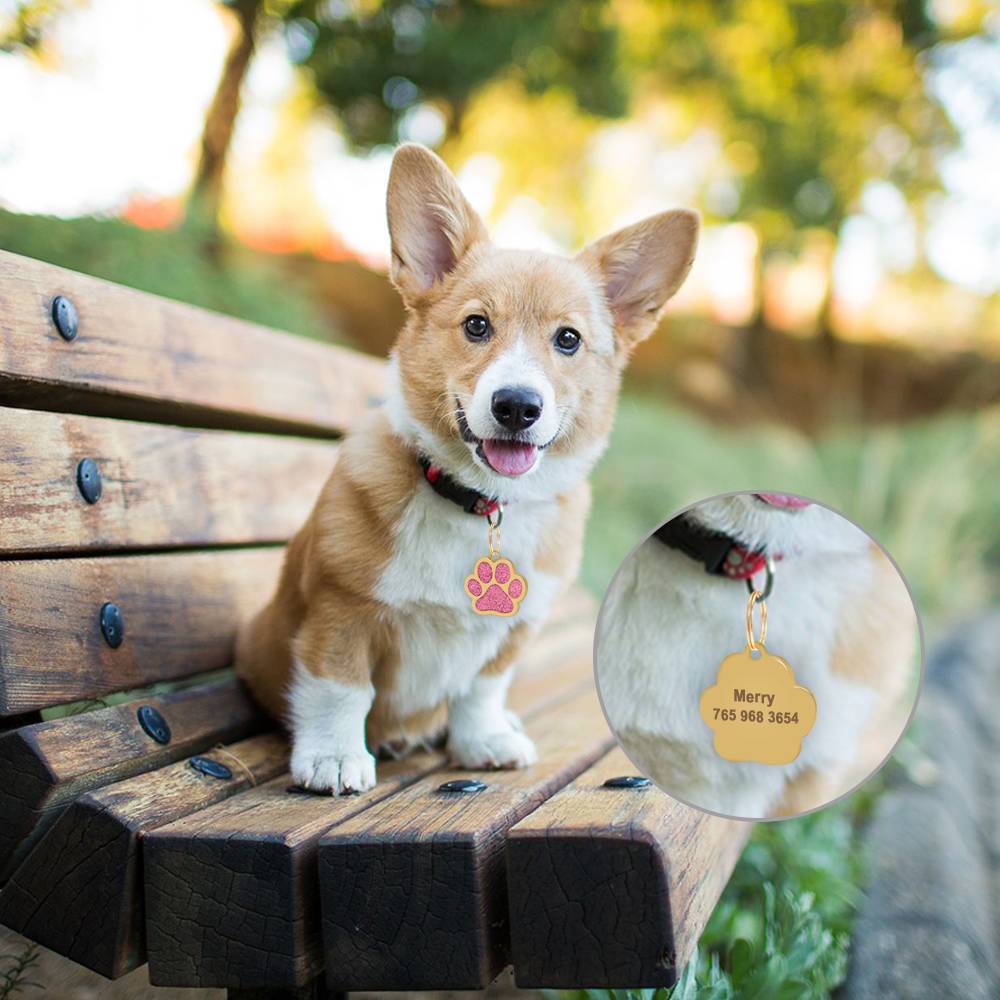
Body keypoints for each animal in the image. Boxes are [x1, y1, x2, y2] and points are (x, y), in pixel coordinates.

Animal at [238, 143, 700, 796]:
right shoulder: (341, 610)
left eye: (568, 339)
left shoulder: (513, 634)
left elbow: (481, 690)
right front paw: (333, 758)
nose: (517, 406)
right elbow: (341, 690)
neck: (478, 504)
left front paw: (482, 740)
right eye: (477, 325)